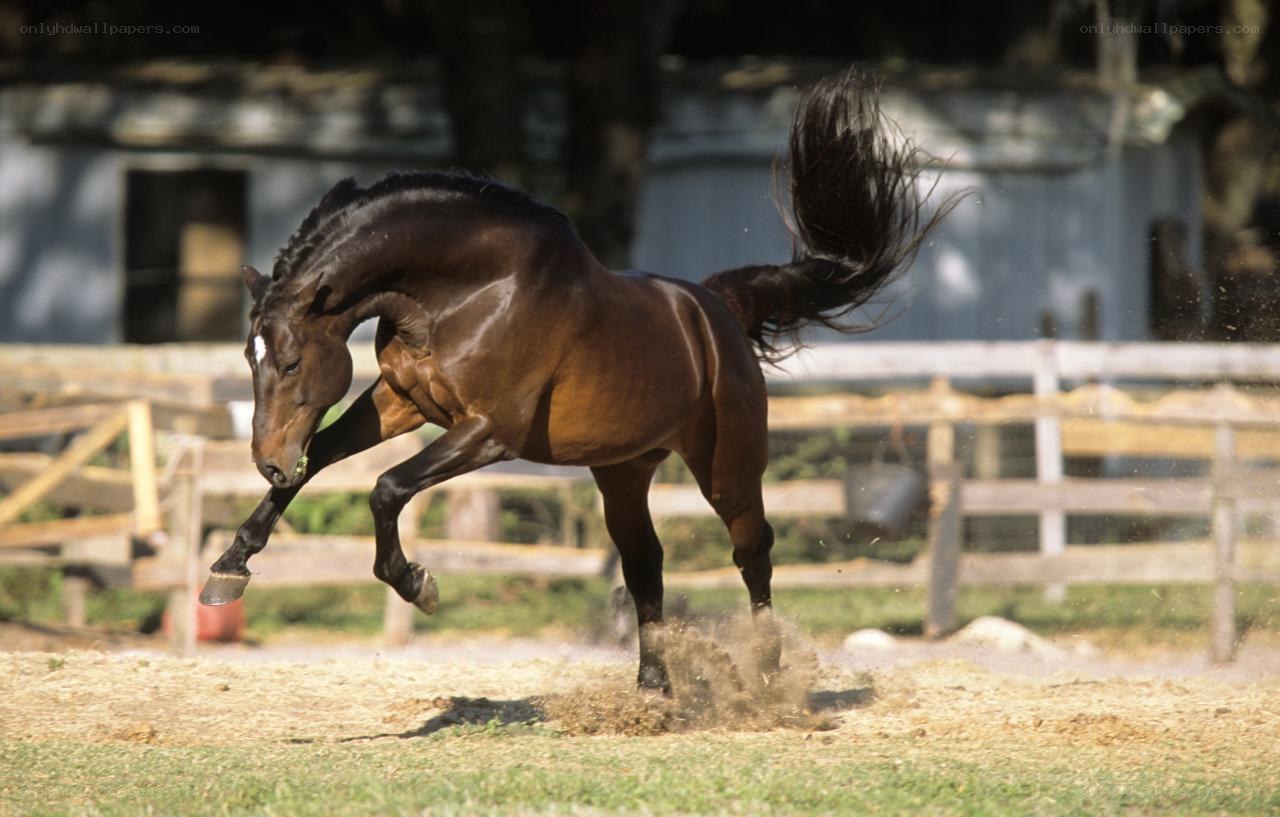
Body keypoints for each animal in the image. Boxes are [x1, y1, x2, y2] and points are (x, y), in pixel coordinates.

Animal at [199, 67, 953, 693]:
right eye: (249, 357)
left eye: (290, 362)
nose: (265, 459)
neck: (463, 288)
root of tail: (715, 311)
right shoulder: (402, 400)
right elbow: (322, 458)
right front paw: (229, 567)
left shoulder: (489, 431)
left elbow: (385, 487)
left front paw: (418, 583)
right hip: (623, 471)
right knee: (645, 562)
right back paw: (653, 688)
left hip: (728, 467)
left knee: (753, 553)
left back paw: (767, 674)